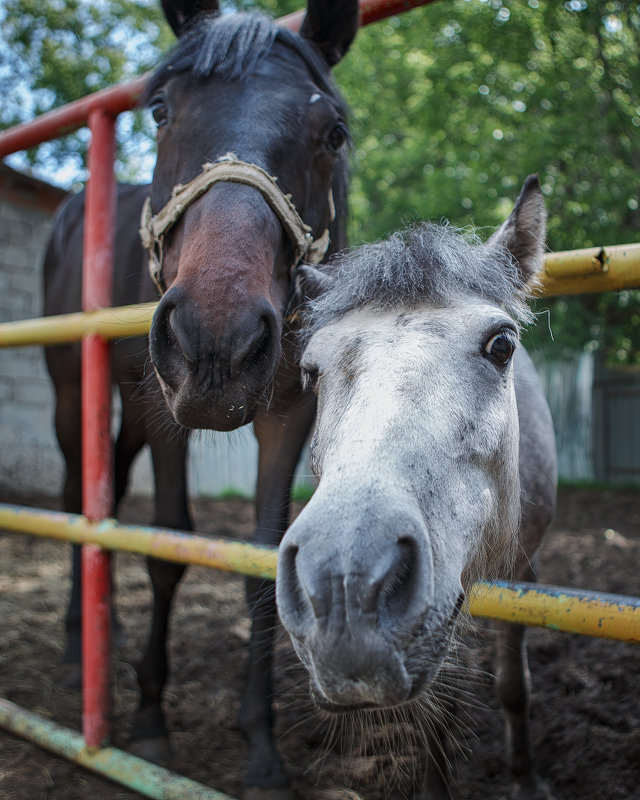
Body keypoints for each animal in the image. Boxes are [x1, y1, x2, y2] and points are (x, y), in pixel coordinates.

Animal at [43, 3, 358, 796]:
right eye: (159, 110)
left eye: (333, 132)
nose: (216, 339)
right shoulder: (166, 413)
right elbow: (167, 544)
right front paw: (150, 719)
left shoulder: (287, 414)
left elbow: (265, 561)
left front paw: (262, 748)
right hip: (76, 389)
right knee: (75, 495)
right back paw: (78, 643)